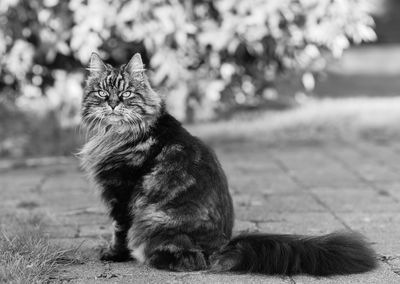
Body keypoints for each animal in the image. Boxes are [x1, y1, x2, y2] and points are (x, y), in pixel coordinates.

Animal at [79, 52, 378, 276]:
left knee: (191, 260)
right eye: (103, 93)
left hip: (153, 220)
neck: (115, 133)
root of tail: (225, 244)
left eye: (126, 93)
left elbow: (119, 230)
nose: (113, 105)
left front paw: (113, 255)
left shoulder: (121, 191)